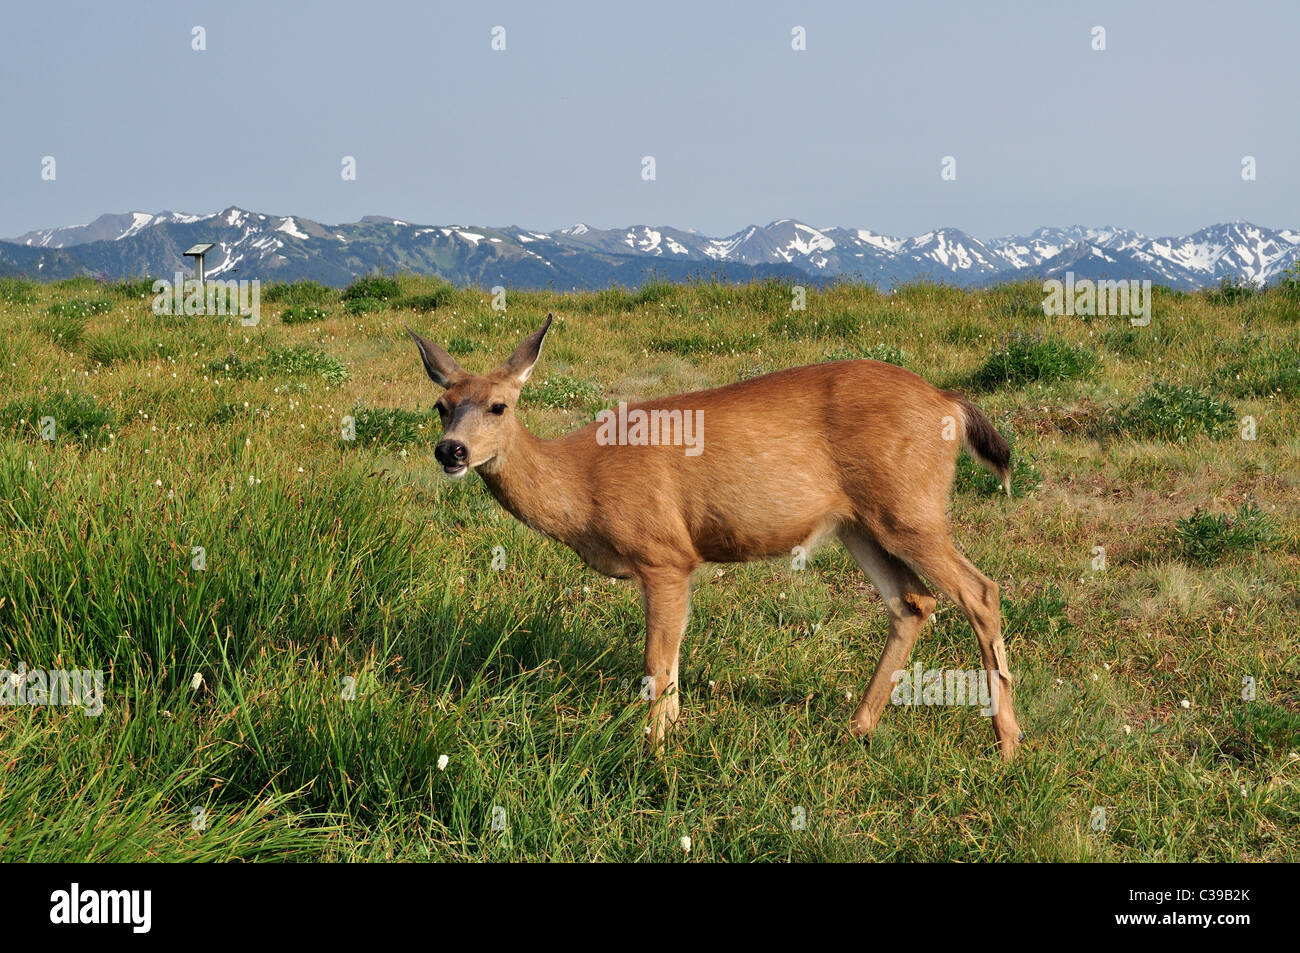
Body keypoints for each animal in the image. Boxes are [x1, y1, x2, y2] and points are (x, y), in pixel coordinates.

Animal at [406, 313, 1025, 760]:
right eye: (440, 405)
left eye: (498, 405)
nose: (450, 451)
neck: (582, 484)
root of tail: (950, 403)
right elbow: (672, 664)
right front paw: (669, 740)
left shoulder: (665, 556)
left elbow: (658, 662)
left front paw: (653, 753)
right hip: (860, 524)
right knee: (912, 601)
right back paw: (856, 728)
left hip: (910, 509)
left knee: (980, 592)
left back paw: (1008, 746)